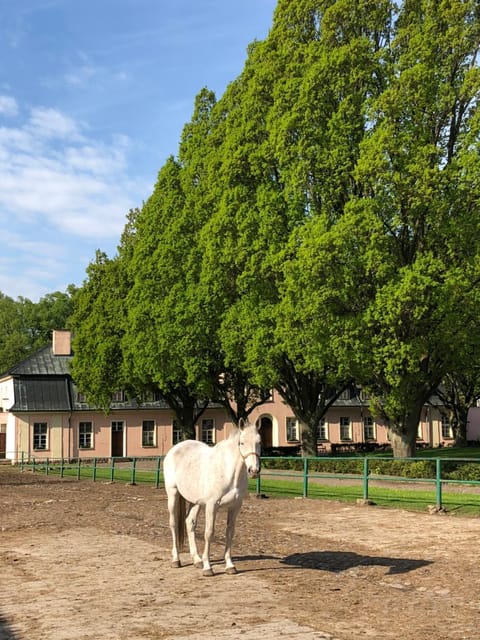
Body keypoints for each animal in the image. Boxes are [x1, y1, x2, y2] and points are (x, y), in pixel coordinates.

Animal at [165, 420, 262, 576]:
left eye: (259, 442)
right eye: (241, 443)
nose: (253, 471)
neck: (228, 471)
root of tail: (175, 448)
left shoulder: (235, 506)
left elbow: (230, 533)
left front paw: (230, 566)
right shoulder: (212, 505)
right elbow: (209, 533)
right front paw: (208, 567)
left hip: (195, 502)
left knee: (189, 522)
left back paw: (196, 560)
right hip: (173, 493)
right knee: (173, 524)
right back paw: (176, 560)